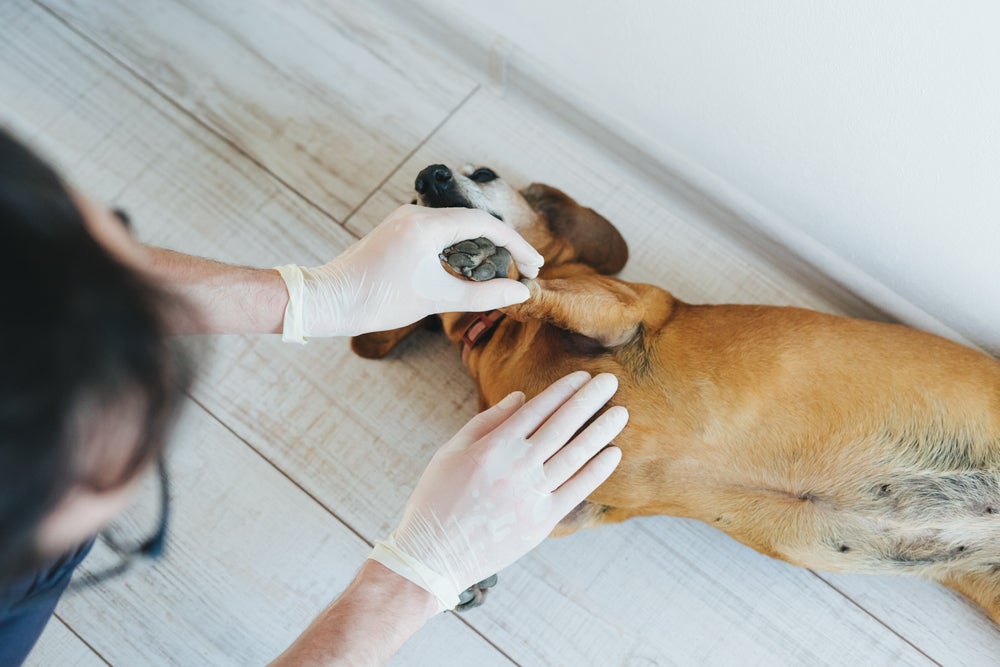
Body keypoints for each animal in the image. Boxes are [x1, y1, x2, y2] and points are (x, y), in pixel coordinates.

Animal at [352, 164, 1000, 624]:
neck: (493, 341)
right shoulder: (579, 496)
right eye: (411, 204)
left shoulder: (617, 313)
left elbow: (533, 290)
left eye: (484, 173)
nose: (429, 175)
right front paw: (458, 562)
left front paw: (494, 265)